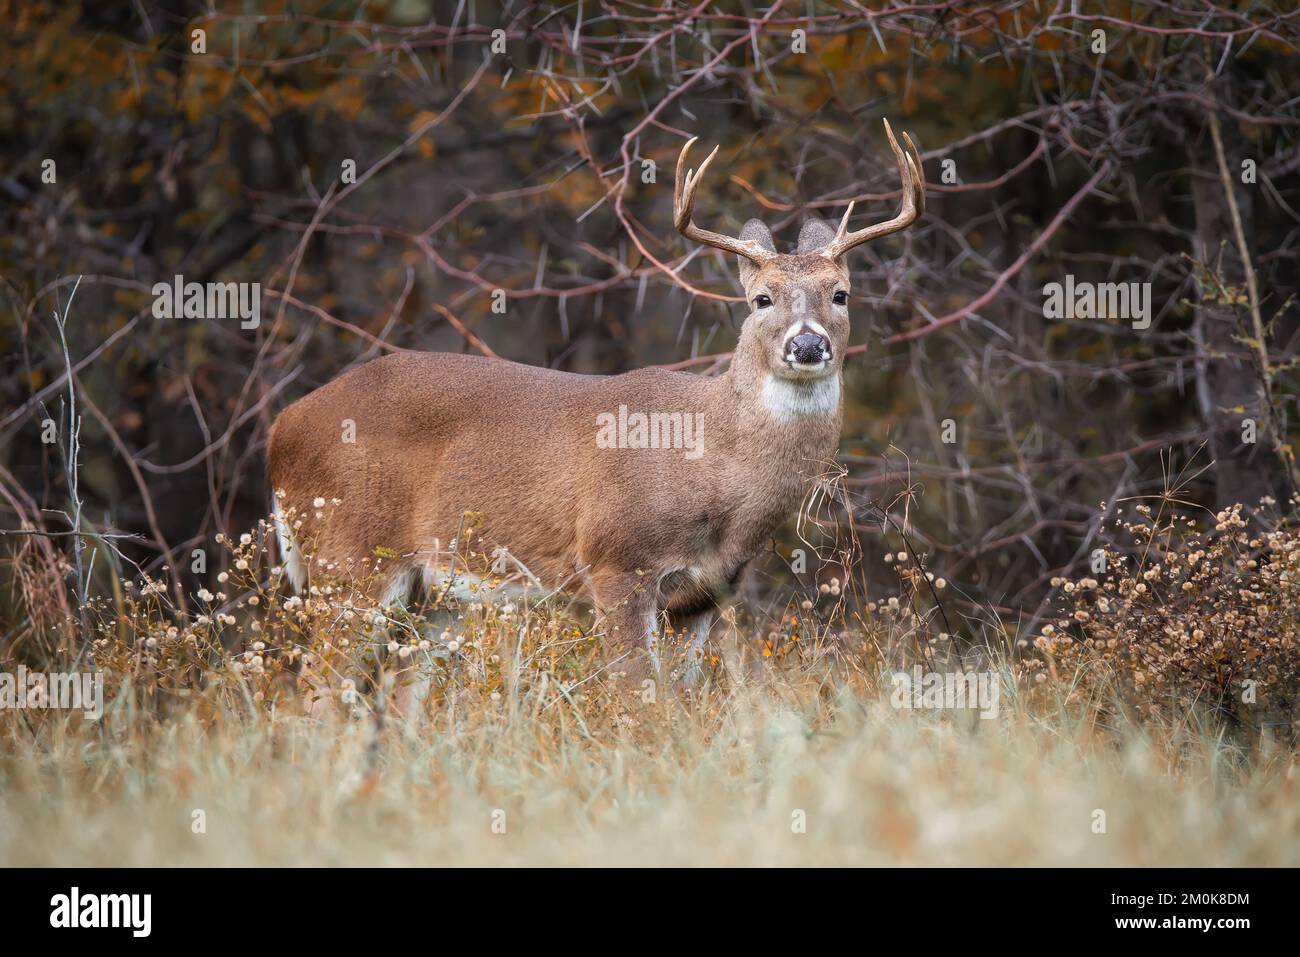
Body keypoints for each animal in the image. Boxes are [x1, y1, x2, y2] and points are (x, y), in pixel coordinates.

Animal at [269, 119, 925, 702]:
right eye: (761, 299)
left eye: (841, 294)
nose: (807, 345)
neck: (716, 471)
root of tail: (281, 427)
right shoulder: (615, 559)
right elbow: (637, 695)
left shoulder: (708, 594)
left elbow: (680, 698)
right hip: (347, 557)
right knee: (314, 693)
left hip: (435, 594)